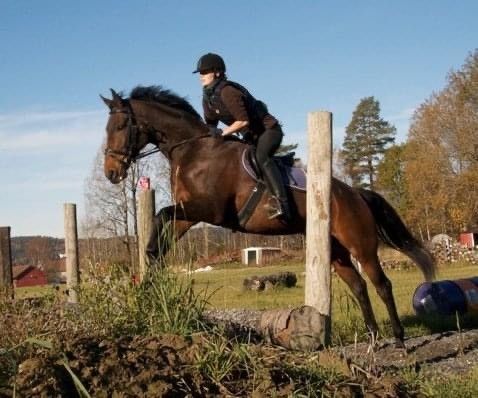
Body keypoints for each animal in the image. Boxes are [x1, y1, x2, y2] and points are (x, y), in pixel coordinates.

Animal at [102, 87, 436, 348]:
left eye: (120, 126)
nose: (111, 173)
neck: (194, 150)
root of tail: (356, 193)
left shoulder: (207, 210)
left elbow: (162, 214)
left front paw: (149, 269)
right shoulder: (189, 212)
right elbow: (163, 232)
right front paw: (149, 271)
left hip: (360, 245)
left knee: (382, 285)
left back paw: (398, 339)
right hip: (337, 250)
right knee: (358, 286)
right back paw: (373, 337)